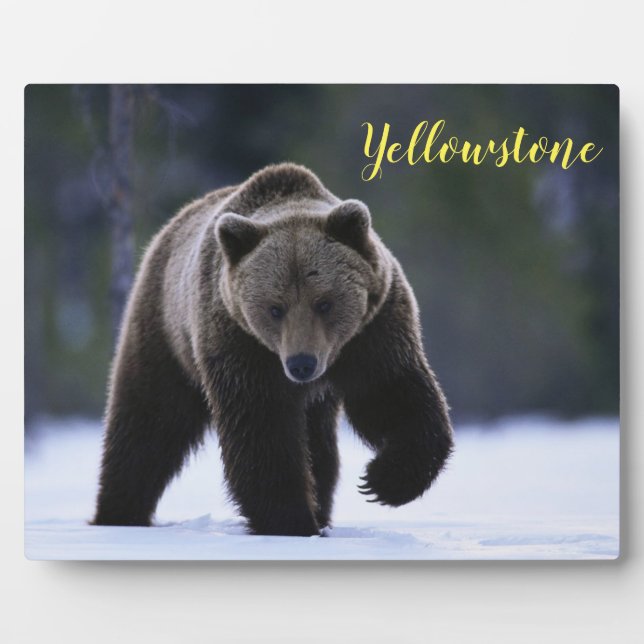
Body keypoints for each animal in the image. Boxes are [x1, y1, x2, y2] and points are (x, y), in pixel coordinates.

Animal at [92, 162, 454, 536]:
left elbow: (392, 394)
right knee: (149, 422)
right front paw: (291, 521)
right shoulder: (239, 342)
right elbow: (261, 429)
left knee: (319, 447)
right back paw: (119, 512)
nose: (301, 364)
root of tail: (167, 229)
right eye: (275, 308)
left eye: (324, 303)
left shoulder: (373, 330)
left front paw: (383, 481)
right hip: (165, 333)